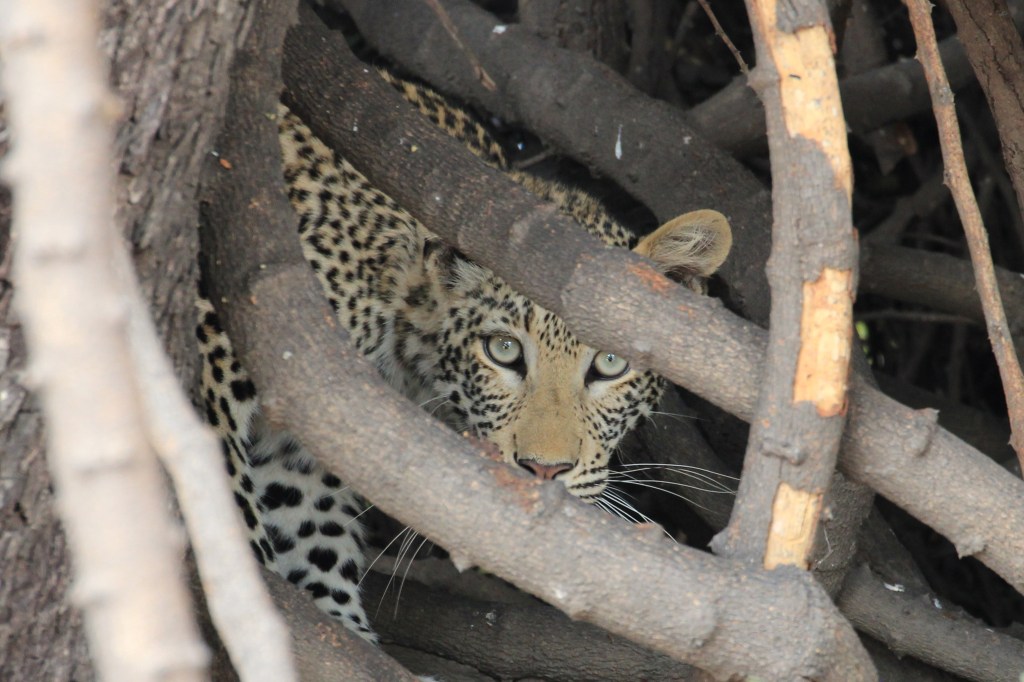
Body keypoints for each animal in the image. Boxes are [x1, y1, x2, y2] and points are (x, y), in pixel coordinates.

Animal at [196, 70, 732, 643]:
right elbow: (225, 504)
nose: (542, 472)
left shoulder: (305, 435)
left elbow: (312, 537)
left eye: (611, 363)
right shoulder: (215, 347)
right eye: (504, 350)